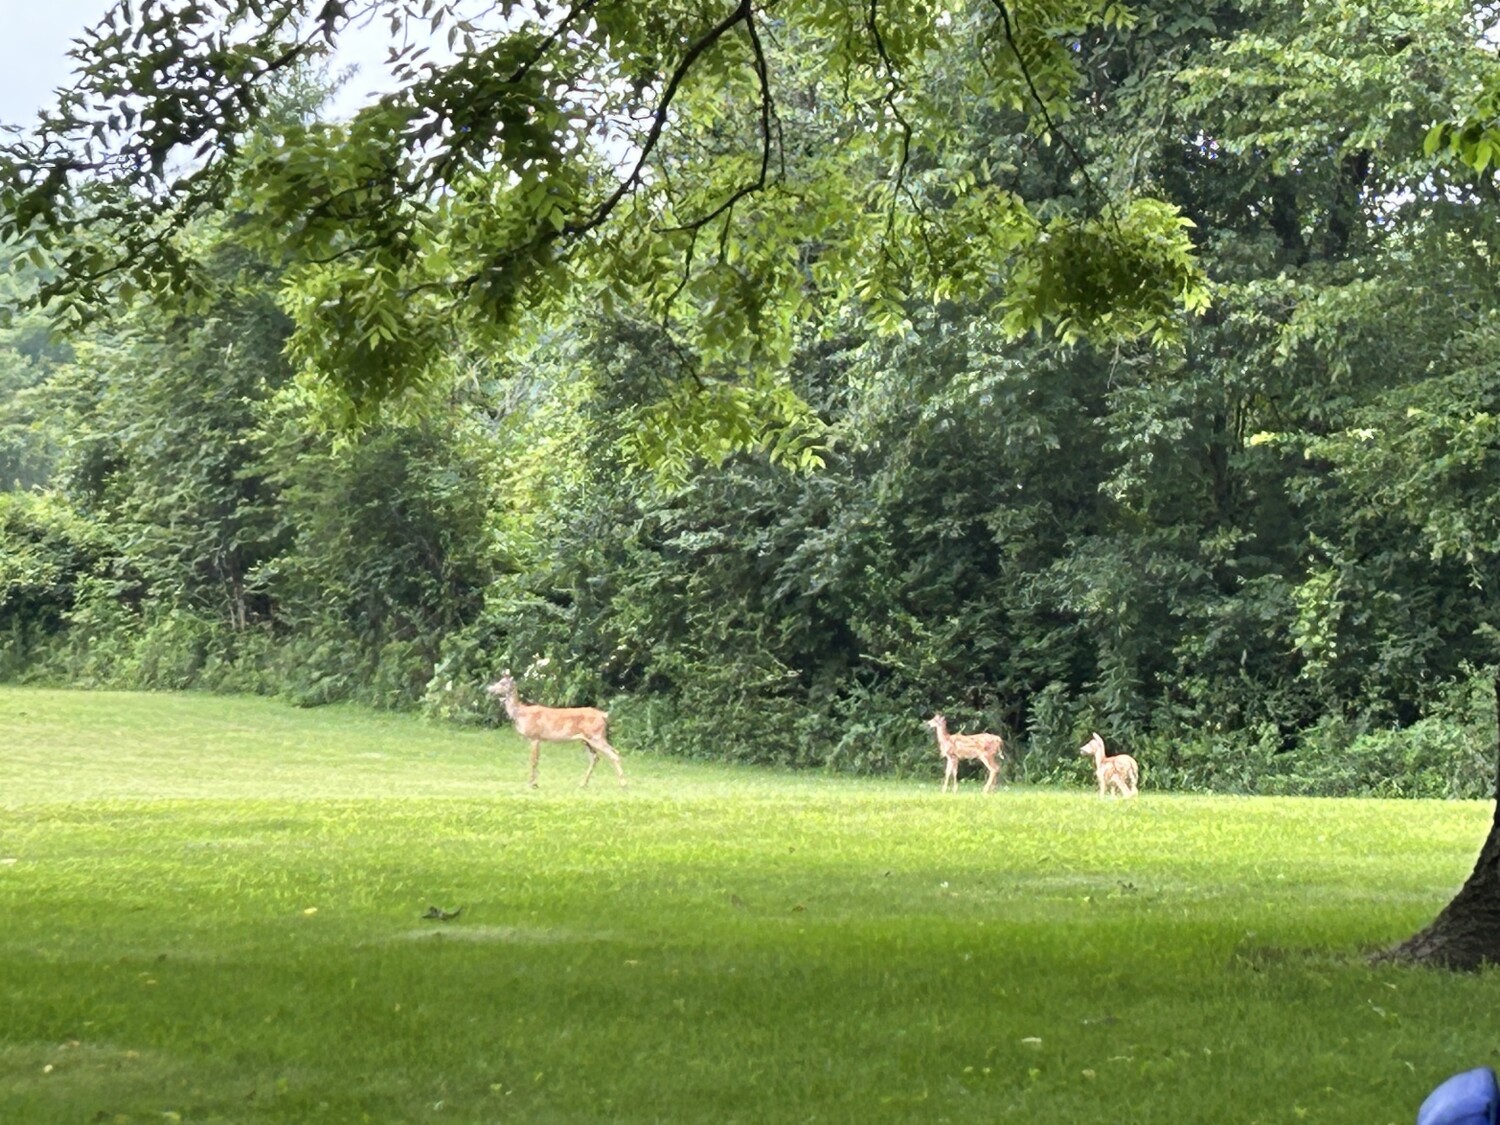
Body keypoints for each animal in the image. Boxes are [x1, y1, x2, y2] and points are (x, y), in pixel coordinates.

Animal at [487, 673, 626, 789]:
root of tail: (604, 715)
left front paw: (531, 784)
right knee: (595, 758)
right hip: (586, 740)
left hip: (596, 736)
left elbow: (533, 760)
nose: (489, 689)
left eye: (503, 683)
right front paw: (534, 783)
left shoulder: (535, 736)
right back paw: (583, 784)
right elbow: (536, 760)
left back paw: (623, 785)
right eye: (499, 681)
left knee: (614, 754)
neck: (521, 713)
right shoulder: (538, 739)